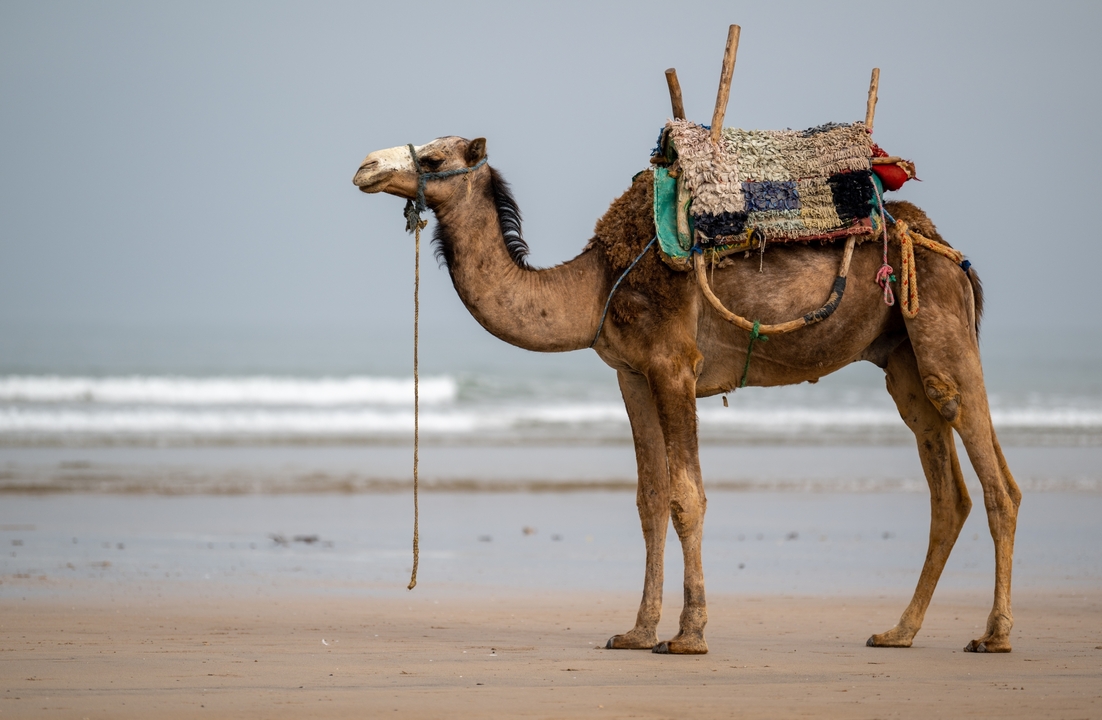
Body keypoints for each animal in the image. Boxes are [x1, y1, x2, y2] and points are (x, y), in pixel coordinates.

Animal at [352, 135, 1020, 655]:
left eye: (433, 157)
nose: (365, 166)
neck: (596, 283)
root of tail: (950, 252)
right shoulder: (631, 374)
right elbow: (649, 499)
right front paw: (636, 632)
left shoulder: (675, 365)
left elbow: (686, 497)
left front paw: (689, 634)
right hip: (900, 356)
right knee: (947, 487)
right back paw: (899, 632)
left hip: (940, 328)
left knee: (995, 480)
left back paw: (994, 634)